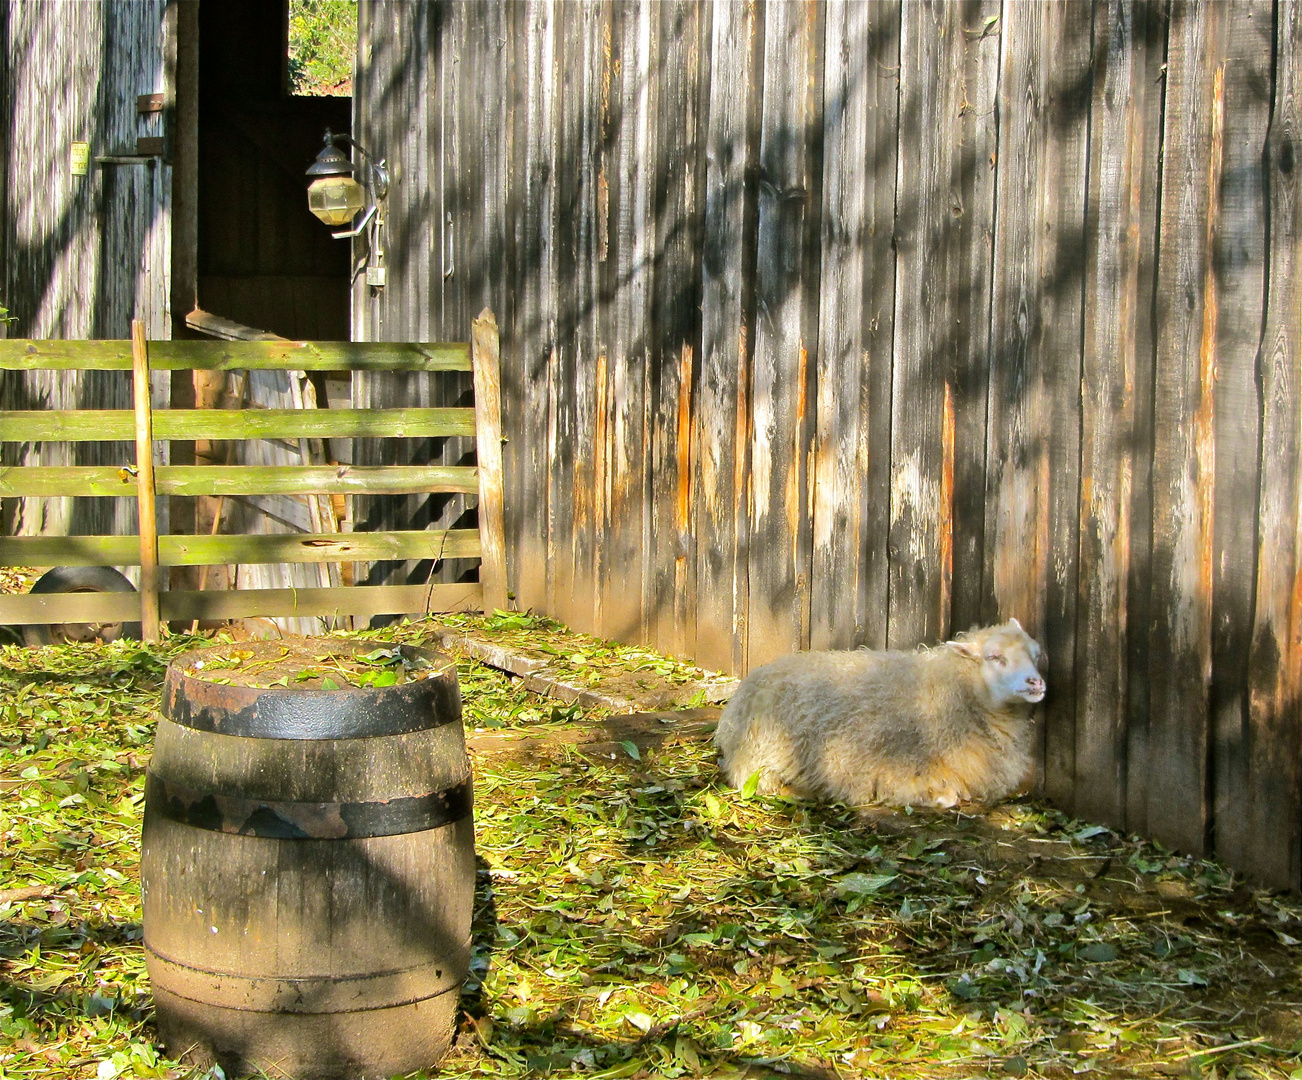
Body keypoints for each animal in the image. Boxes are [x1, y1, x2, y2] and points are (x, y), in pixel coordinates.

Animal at [713, 620, 1046, 802]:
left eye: (1035, 655)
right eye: (994, 657)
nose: (1037, 682)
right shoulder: (893, 769)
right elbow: (945, 796)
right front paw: (939, 797)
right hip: (761, 757)